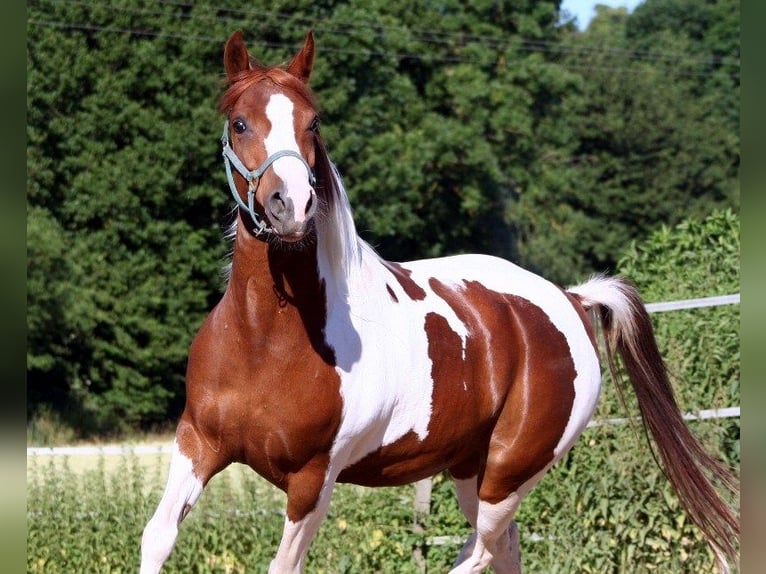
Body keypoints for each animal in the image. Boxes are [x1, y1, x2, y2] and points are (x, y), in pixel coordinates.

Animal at [141, 30, 740, 574]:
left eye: (313, 123)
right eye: (240, 123)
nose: (292, 205)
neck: (266, 340)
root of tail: (570, 299)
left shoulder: (313, 480)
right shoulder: (197, 444)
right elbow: (157, 537)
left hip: (507, 475)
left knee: (480, 552)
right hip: (470, 469)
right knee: (503, 551)